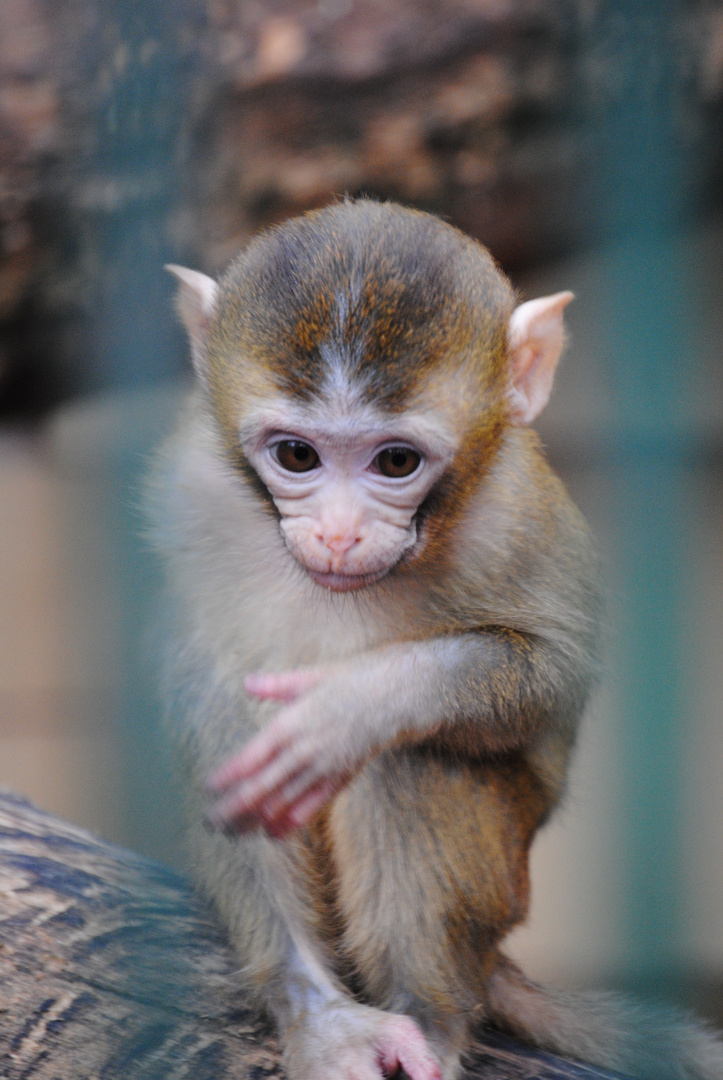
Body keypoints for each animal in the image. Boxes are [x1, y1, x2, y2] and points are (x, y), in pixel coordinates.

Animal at [146, 198, 721, 1075]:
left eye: (395, 462)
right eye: (296, 455)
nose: (340, 534)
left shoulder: (516, 514)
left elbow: (549, 677)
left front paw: (352, 707)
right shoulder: (187, 489)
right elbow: (194, 685)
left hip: (504, 881)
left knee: (407, 761)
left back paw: (432, 1014)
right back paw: (321, 1013)